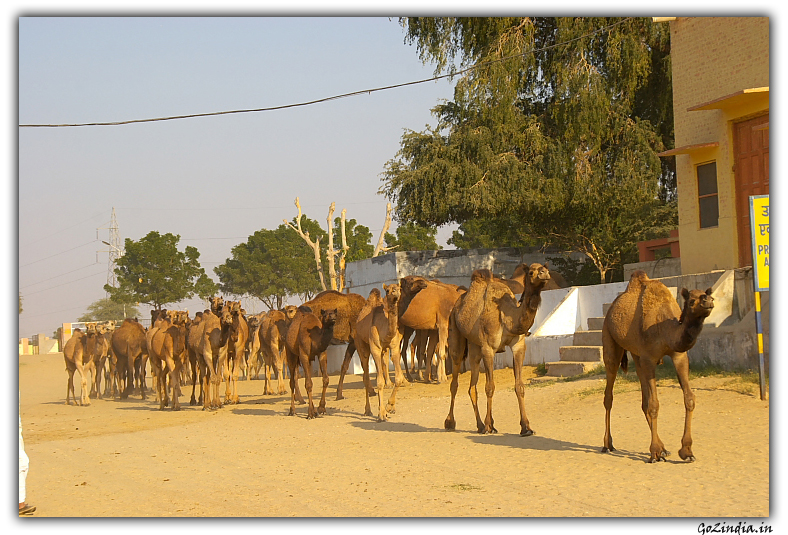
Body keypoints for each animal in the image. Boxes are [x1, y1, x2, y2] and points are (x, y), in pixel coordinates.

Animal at [356, 284, 406, 422]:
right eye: (387, 290)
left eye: (399, 288)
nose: (395, 294)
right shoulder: (375, 348)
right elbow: (379, 382)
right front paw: (382, 414)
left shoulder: (394, 347)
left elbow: (398, 378)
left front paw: (390, 407)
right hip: (361, 345)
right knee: (366, 376)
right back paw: (367, 410)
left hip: (383, 351)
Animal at [444, 262, 548, 436]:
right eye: (531, 272)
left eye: (545, 268)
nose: (544, 273)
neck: (507, 316)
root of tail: (457, 304)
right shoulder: (488, 348)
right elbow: (489, 387)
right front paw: (488, 427)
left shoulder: (518, 346)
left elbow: (519, 386)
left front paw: (526, 427)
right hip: (455, 332)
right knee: (454, 382)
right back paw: (451, 423)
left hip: (475, 347)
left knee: (472, 386)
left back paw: (480, 425)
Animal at [600, 270, 716, 462]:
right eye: (692, 300)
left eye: (709, 296)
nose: (708, 301)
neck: (665, 328)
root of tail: (610, 310)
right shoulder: (649, 358)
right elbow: (654, 404)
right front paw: (654, 453)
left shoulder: (679, 356)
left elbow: (689, 398)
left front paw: (686, 451)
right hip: (610, 340)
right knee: (609, 395)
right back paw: (607, 444)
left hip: (636, 354)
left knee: (643, 399)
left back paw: (663, 449)